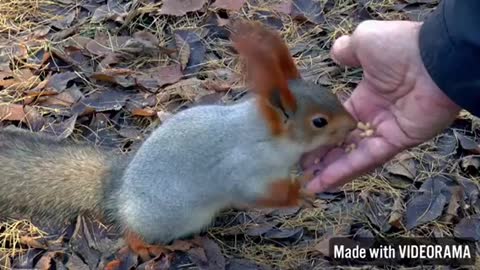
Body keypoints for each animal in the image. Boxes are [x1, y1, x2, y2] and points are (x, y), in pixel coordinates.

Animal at [0, 20, 356, 260]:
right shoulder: (242, 167)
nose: (353, 125)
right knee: (132, 232)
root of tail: (118, 192)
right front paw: (297, 194)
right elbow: (251, 192)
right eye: (319, 122)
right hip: (165, 217)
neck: (267, 137)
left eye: (330, 95)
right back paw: (145, 244)